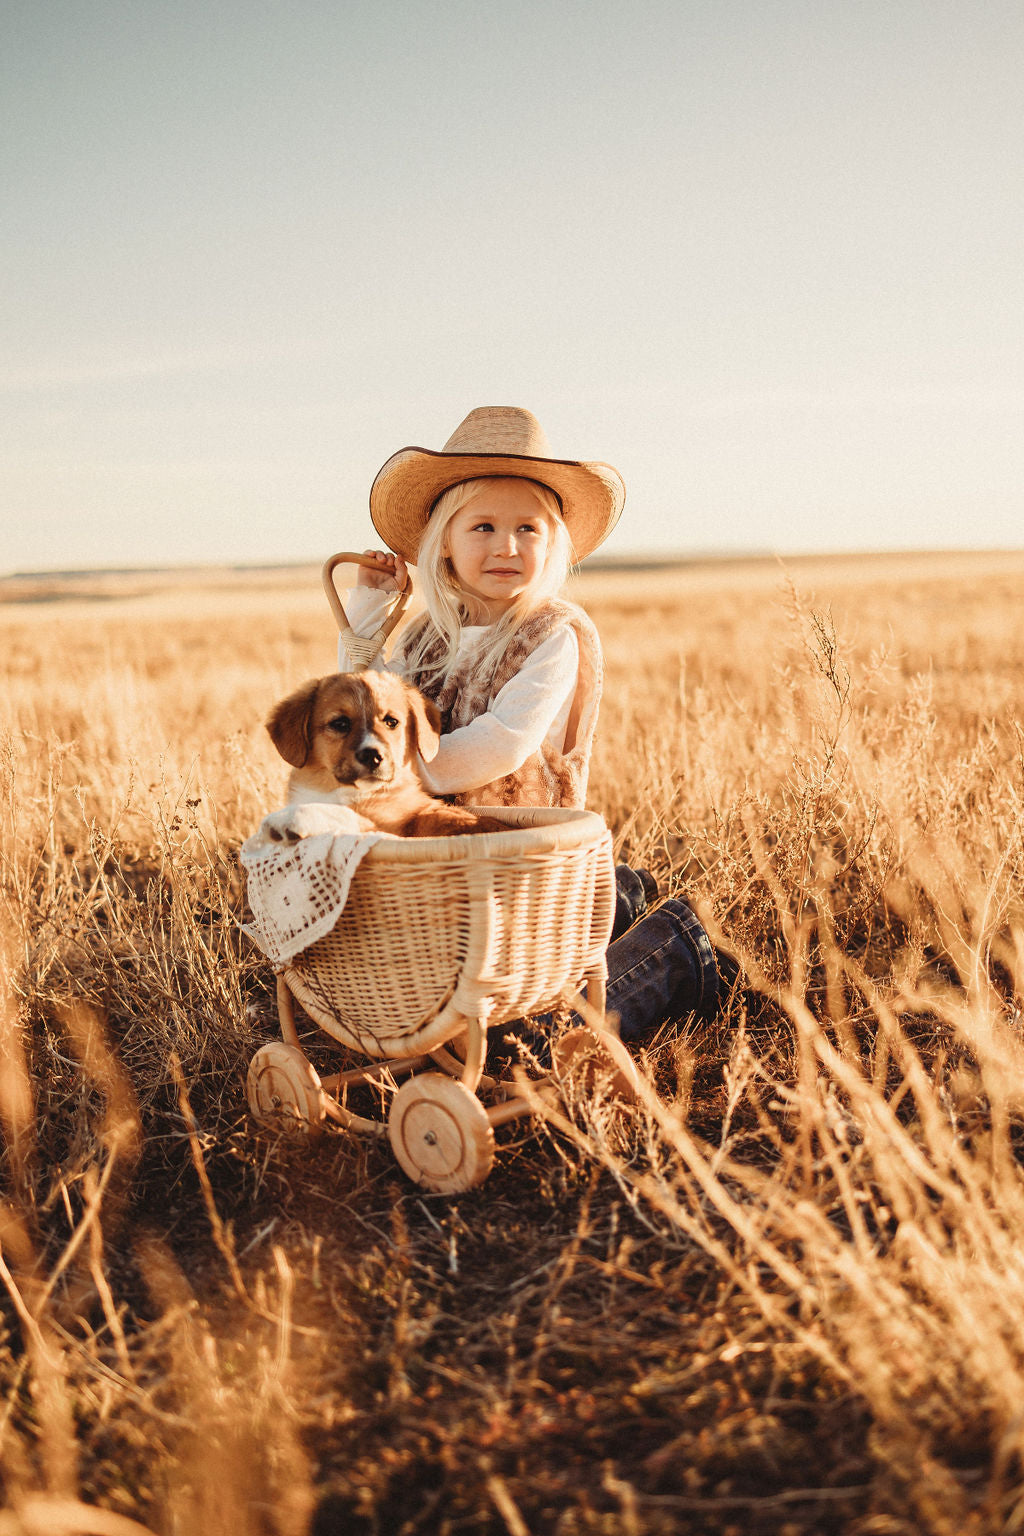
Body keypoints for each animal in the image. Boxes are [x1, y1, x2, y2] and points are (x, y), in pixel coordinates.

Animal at [264, 672, 503, 841]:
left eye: (391, 722)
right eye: (340, 723)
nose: (372, 756)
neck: (330, 788)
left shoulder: (389, 832)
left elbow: (347, 816)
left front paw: (295, 818)